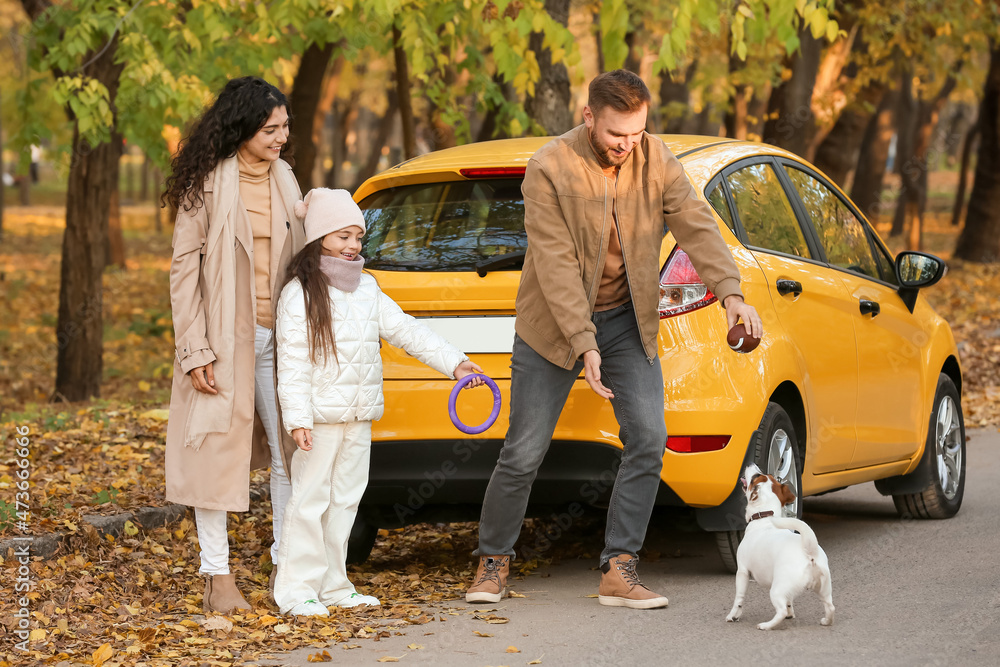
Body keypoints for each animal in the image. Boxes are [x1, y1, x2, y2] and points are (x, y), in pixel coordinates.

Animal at [728, 464, 836, 632]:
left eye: (755, 477)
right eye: (768, 475)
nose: (752, 464)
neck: (764, 518)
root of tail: (809, 552)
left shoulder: (742, 572)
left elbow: (738, 599)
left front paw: (733, 616)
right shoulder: (788, 592)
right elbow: (789, 601)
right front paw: (791, 613)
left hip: (776, 590)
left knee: (780, 611)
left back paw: (766, 625)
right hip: (824, 589)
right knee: (830, 607)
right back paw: (826, 621)